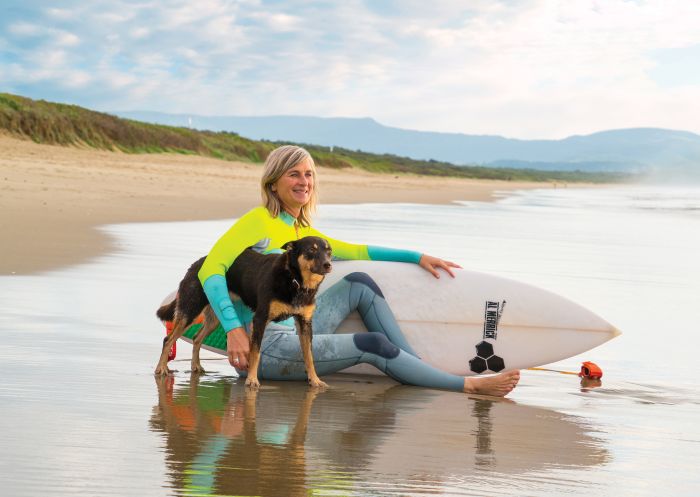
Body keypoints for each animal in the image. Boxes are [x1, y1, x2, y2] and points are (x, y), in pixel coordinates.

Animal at [155, 234, 334, 390]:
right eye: (311, 250)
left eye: (329, 251)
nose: (328, 265)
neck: (296, 280)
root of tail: (197, 263)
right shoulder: (260, 319)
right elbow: (255, 352)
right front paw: (252, 379)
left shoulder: (305, 323)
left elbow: (309, 356)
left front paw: (315, 380)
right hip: (190, 311)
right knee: (168, 339)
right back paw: (161, 368)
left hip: (215, 318)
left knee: (196, 338)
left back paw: (196, 366)